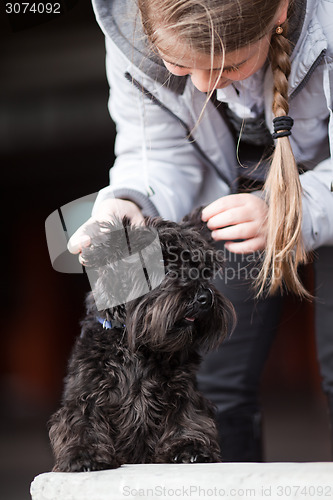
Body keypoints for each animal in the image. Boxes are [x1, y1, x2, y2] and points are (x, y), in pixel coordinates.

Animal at [49, 209, 235, 470]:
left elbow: (186, 416)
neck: (139, 343)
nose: (204, 297)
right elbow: (81, 422)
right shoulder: (86, 393)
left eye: (202, 269)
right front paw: (84, 454)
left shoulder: (184, 391)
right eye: (163, 264)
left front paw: (189, 447)